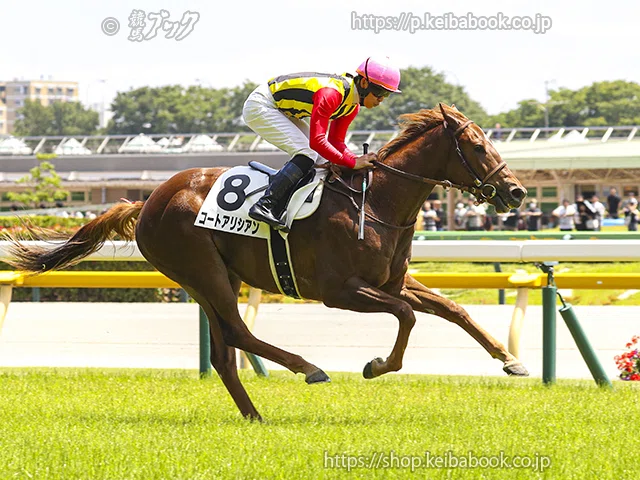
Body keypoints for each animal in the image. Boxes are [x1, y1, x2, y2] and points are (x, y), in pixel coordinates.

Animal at [5, 104, 528, 421]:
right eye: (478, 146)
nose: (517, 191)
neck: (375, 200)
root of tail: (147, 200)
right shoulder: (340, 292)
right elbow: (407, 316)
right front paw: (377, 365)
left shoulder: (391, 282)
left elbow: (450, 308)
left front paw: (510, 360)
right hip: (205, 271)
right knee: (237, 334)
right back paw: (307, 368)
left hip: (207, 280)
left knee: (223, 352)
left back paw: (254, 414)